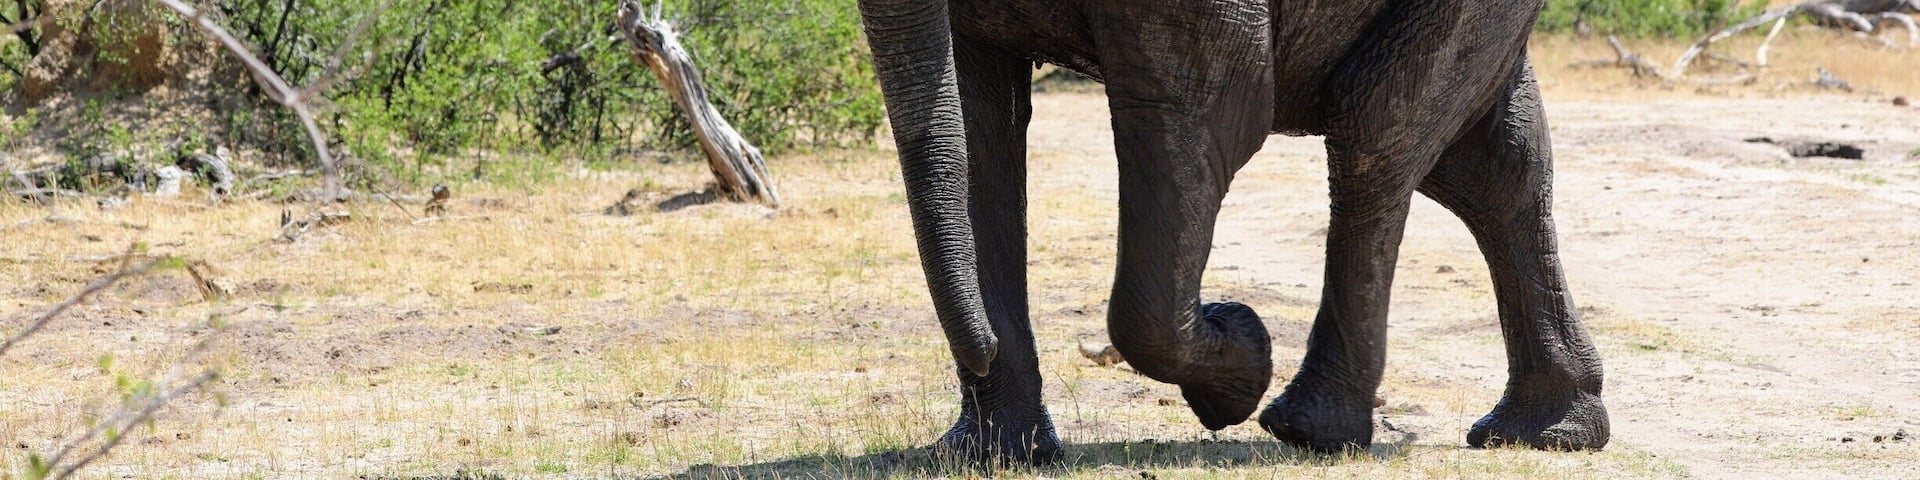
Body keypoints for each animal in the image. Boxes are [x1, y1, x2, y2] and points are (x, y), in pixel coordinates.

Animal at [856, 0, 1610, 461]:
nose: (980, 351)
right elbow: (979, 126)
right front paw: (985, 456)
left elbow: (1212, 106)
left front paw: (1239, 362)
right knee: (1492, 162)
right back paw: (1545, 433)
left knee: (1376, 130)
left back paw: (1308, 430)